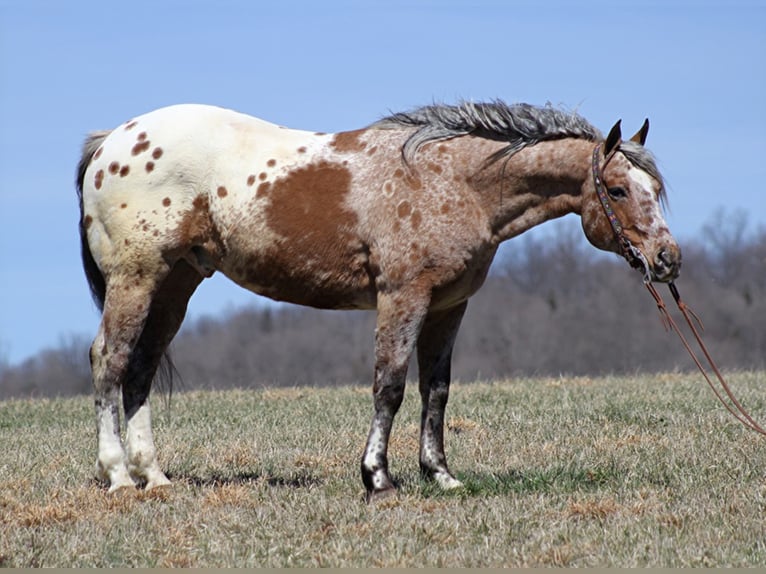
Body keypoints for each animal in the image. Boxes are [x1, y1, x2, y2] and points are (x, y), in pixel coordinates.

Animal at [75, 101, 680, 502]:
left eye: (656, 190)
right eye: (619, 190)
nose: (668, 260)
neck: (454, 180)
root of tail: (111, 141)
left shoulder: (448, 307)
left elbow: (436, 391)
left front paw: (441, 475)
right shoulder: (402, 298)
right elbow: (389, 385)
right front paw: (378, 477)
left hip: (175, 284)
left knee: (140, 369)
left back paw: (154, 476)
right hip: (136, 277)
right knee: (110, 360)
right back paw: (119, 475)